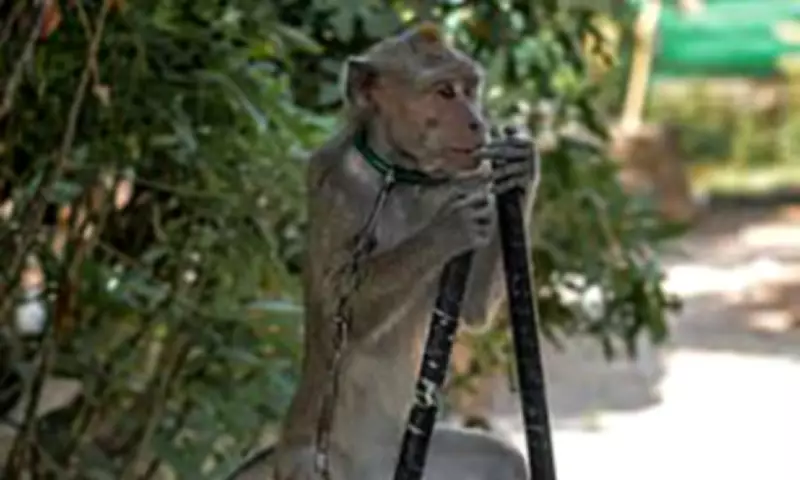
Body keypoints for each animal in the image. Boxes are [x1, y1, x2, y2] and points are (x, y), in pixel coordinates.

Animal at [226, 22, 539, 480]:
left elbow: (475, 311)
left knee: (502, 462)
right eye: (445, 92)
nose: (478, 123)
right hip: (313, 461)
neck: (402, 173)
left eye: (470, 88)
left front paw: (522, 164)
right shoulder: (335, 180)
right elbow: (340, 310)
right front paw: (448, 228)